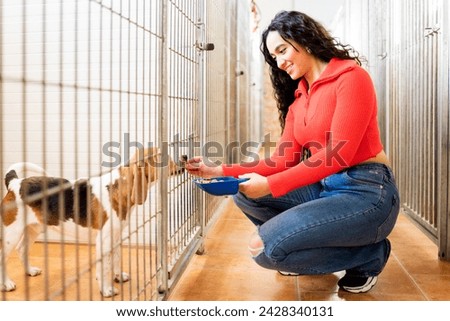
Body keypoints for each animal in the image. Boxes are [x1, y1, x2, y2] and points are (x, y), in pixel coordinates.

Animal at [0, 147, 185, 296]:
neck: (117, 188)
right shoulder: (104, 241)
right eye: (163, 156)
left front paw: (118, 276)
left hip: (34, 228)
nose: (184, 156)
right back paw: (6, 284)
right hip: (12, 233)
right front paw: (107, 289)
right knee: (4, 256)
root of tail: (15, 182)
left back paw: (30, 271)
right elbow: (104, 267)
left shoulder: (116, 237)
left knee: (22, 249)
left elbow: (116, 259)